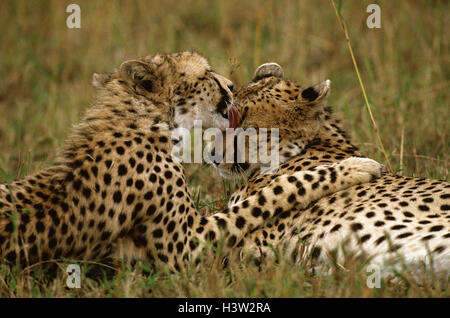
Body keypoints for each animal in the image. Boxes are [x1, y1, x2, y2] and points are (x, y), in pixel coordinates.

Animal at [0, 52, 384, 270]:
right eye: (206, 74)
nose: (229, 83)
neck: (138, 121)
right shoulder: (185, 247)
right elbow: (277, 192)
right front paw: (355, 166)